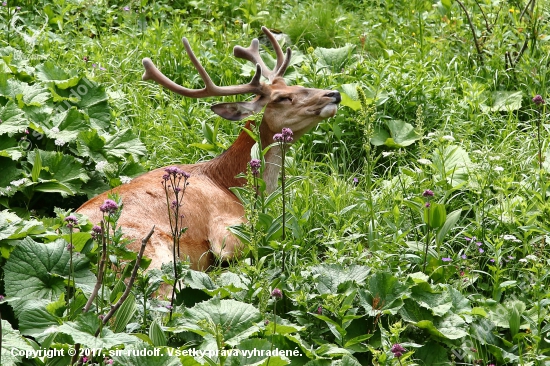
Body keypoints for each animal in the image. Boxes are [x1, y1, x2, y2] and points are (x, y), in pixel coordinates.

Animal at [77, 25, 340, 270]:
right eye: (282, 98)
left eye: (295, 85)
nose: (334, 93)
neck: (230, 184)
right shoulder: (228, 232)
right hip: (149, 252)